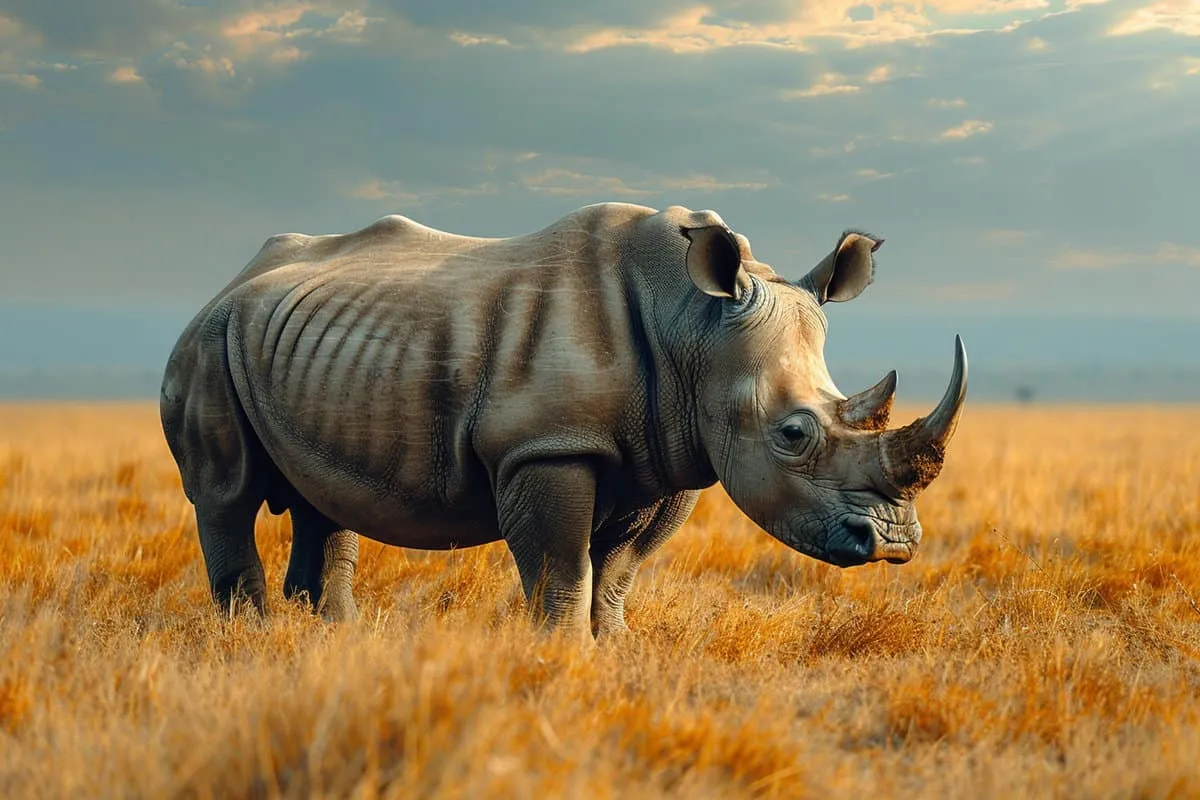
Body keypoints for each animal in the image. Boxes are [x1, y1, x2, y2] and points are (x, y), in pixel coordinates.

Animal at [160, 202, 967, 636]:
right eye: (793, 435)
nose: (894, 545)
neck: (692, 324)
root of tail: (229, 281)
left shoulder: (671, 455)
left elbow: (618, 571)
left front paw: (616, 647)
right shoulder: (543, 446)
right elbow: (560, 565)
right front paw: (561, 651)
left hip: (298, 345)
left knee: (321, 502)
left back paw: (333, 635)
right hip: (206, 341)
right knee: (226, 494)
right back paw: (251, 637)